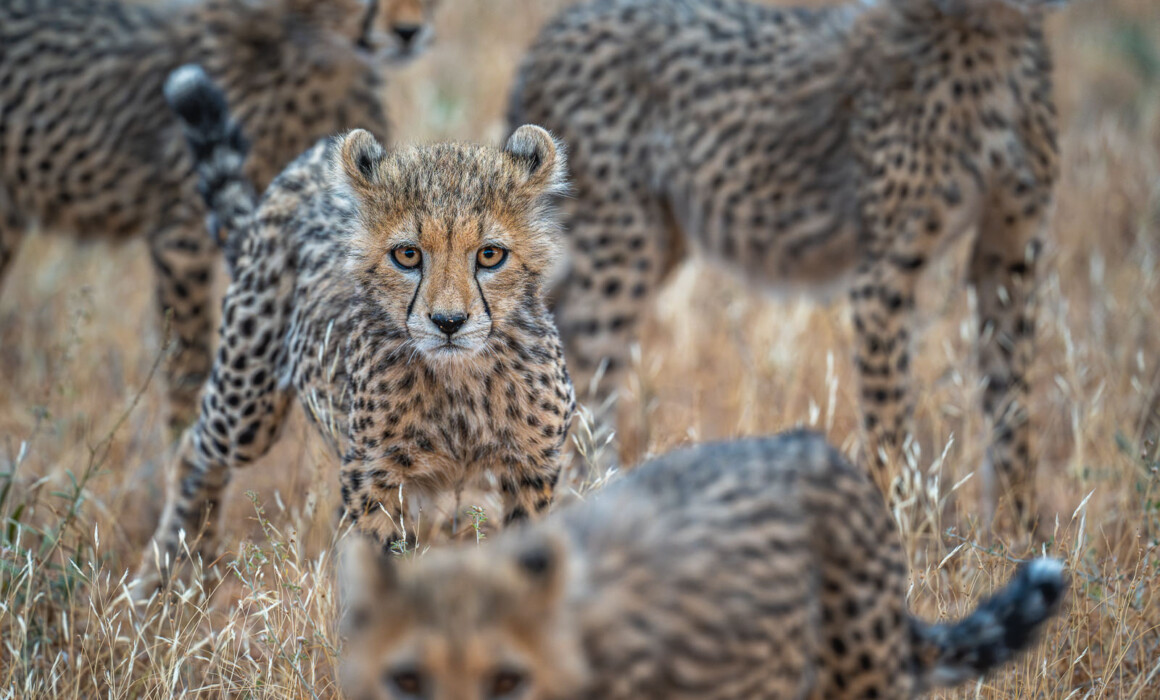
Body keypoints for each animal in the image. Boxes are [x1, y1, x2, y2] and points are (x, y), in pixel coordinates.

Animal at [134, 66, 574, 591]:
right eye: (407, 254)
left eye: (490, 255)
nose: (448, 322)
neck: (462, 384)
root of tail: (311, 157)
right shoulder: (373, 478)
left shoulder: (532, 471)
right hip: (247, 401)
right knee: (195, 448)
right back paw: (166, 571)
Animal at [509, 0, 1068, 527]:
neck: (995, 32)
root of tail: (554, 29)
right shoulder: (884, 269)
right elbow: (889, 417)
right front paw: (898, 529)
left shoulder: (1009, 254)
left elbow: (1012, 405)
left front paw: (1020, 531)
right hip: (622, 248)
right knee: (579, 363)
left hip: (654, 241)